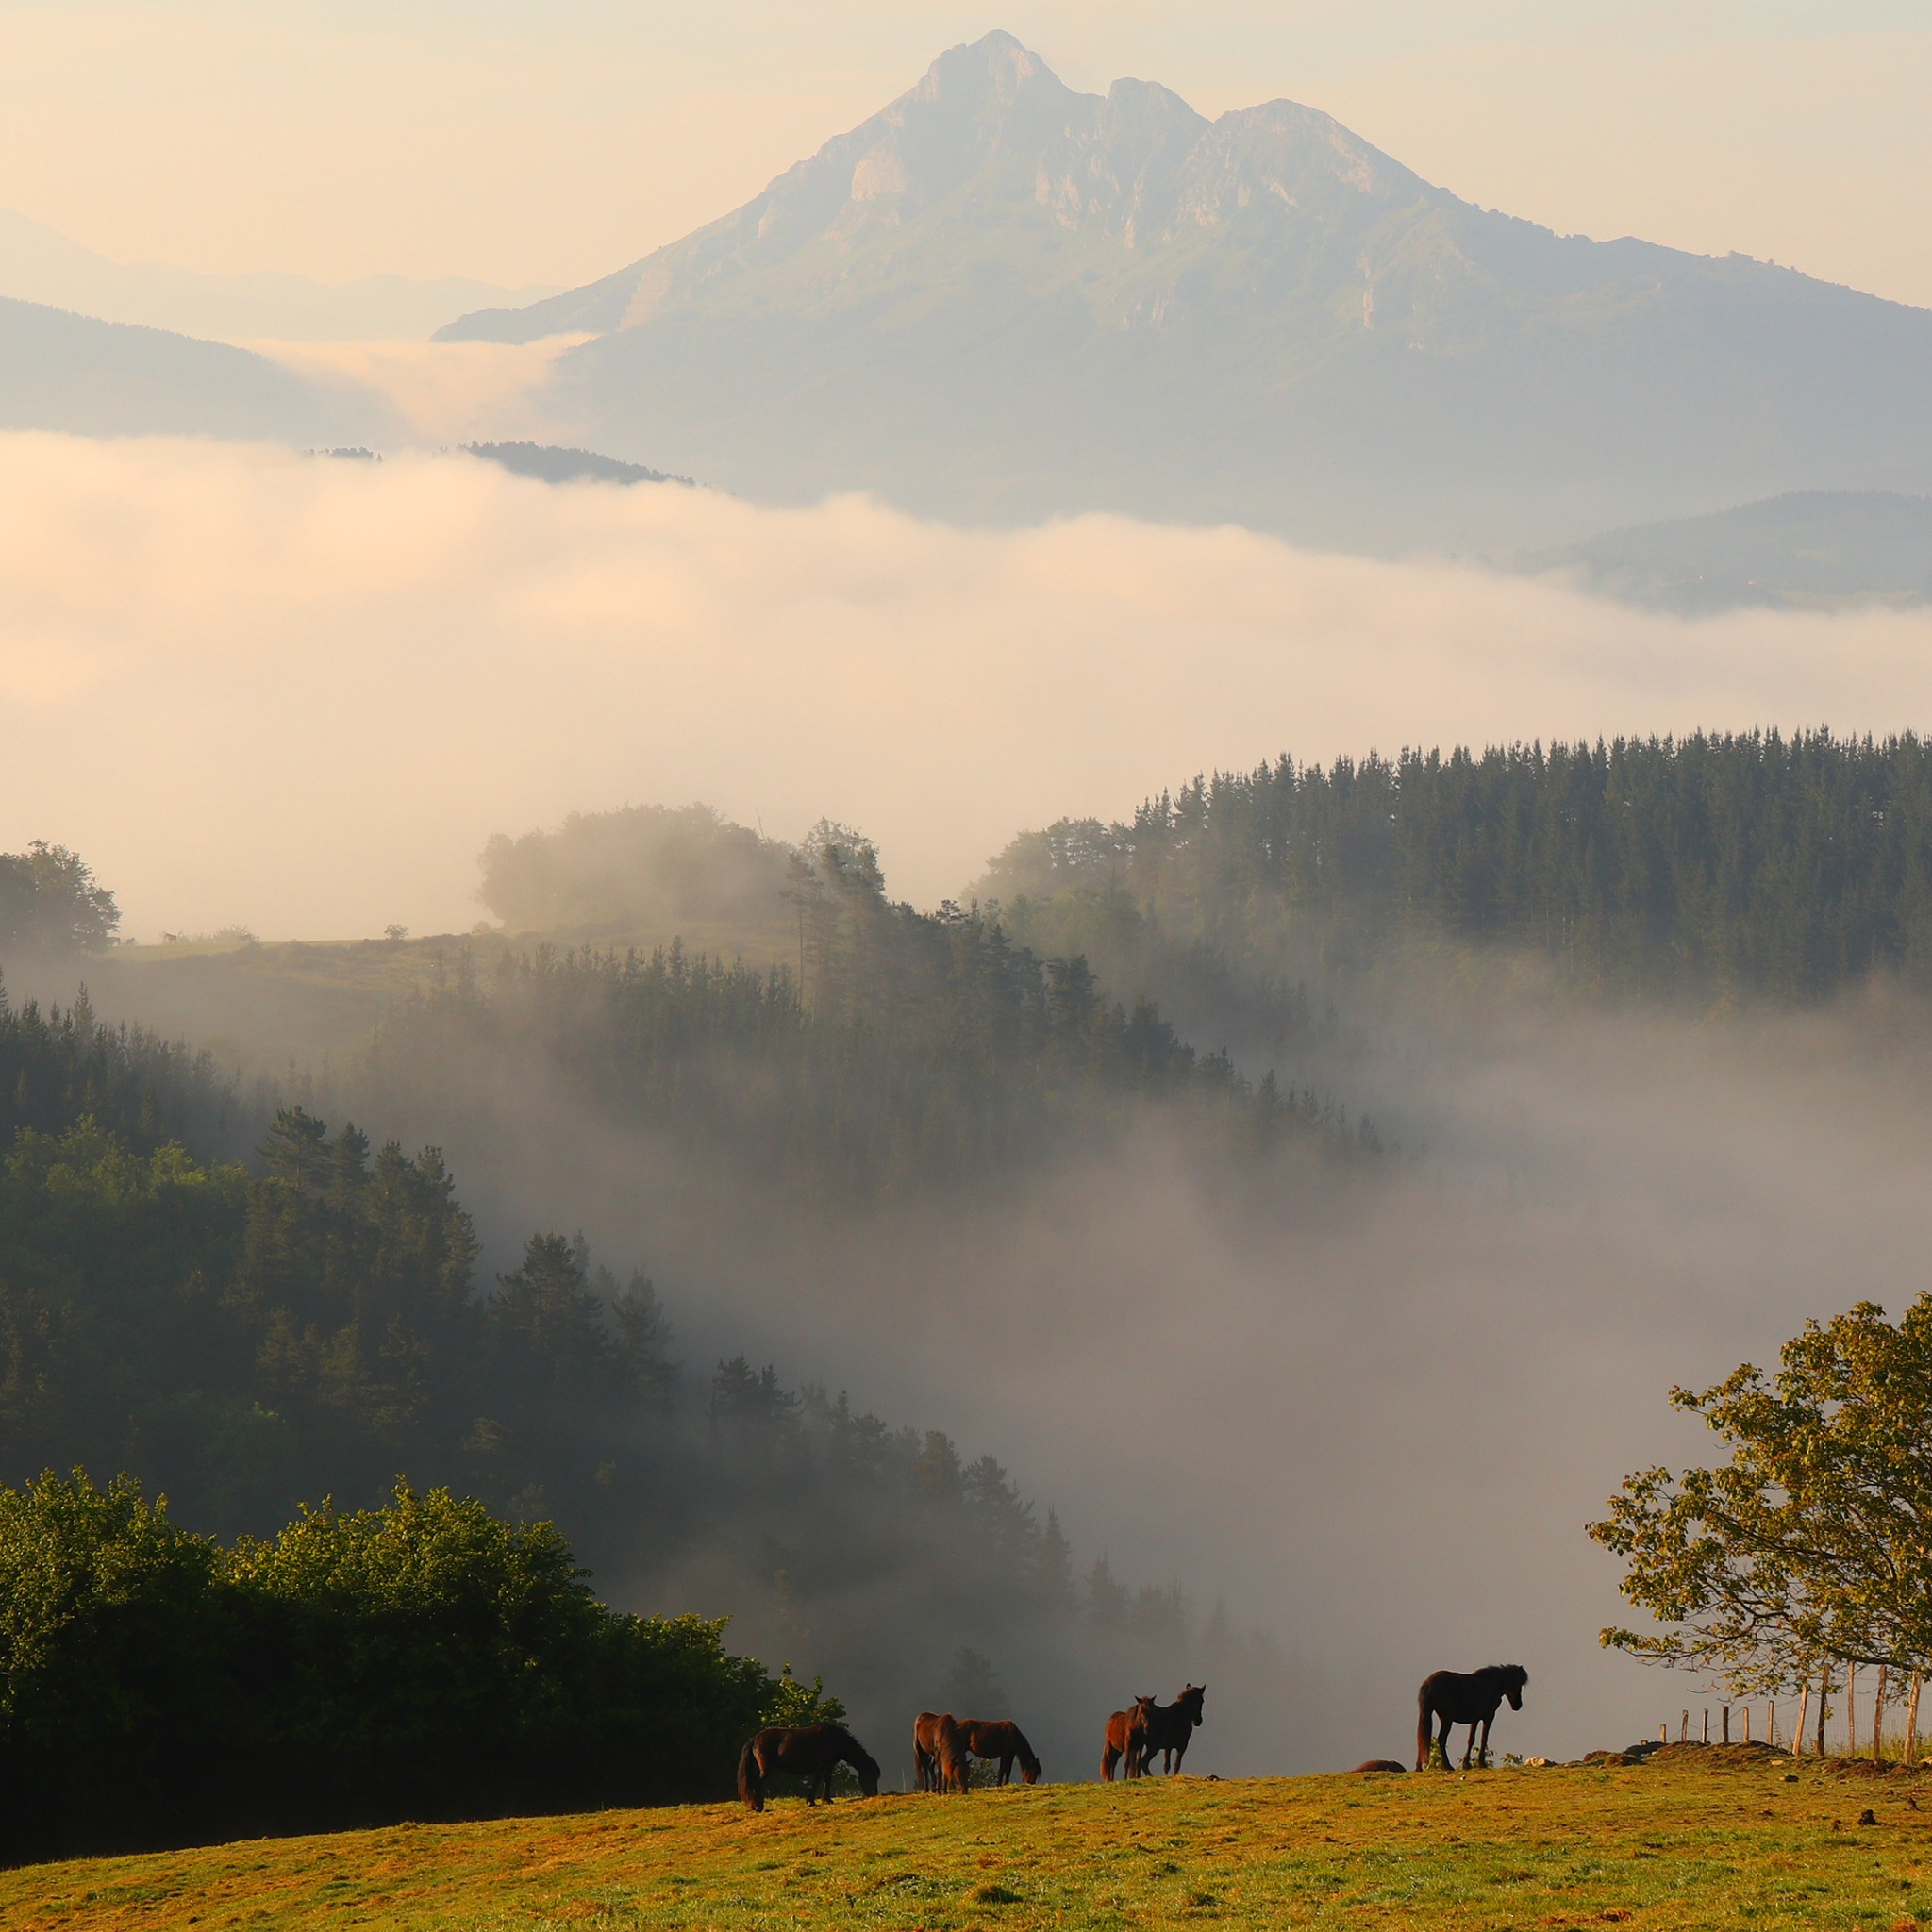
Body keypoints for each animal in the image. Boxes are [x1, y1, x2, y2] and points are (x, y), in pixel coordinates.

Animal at [738, 1723, 884, 1807]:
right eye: (871, 1776)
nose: (874, 1795)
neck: (835, 1739)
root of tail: (755, 1739)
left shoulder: (828, 1766)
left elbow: (826, 1781)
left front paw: (825, 1800)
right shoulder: (822, 1766)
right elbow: (819, 1782)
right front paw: (813, 1801)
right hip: (766, 1769)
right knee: (756, 1783)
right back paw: (757, 1806)